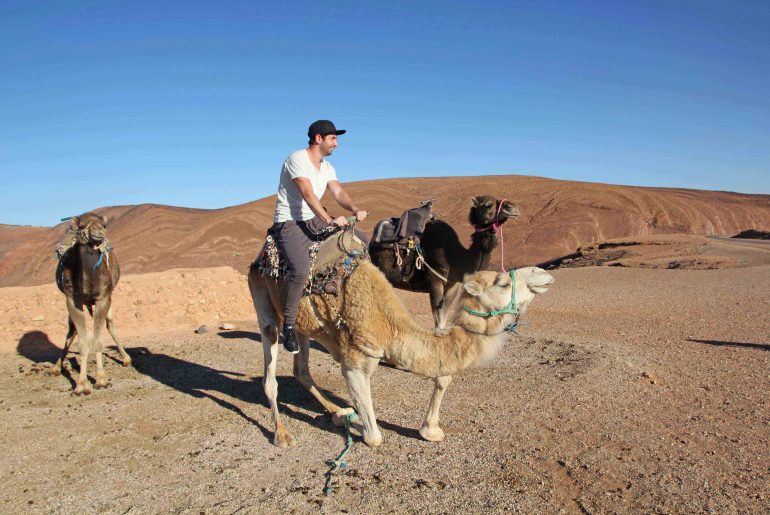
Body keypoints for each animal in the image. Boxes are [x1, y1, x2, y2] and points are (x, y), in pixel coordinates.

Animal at [54, 213, 130, 396]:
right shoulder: (73, 300)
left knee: (110, 326)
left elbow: (98, 340)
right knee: (71, 332)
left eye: (104, 225)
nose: (98, 232)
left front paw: (101, 381)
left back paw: (126, 359)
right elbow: (83, 342)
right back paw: (56, 367)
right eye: (81, 226)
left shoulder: (104, 299)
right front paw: (82, 386)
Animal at [246, 250, 552, 448]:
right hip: (261, 300)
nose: (543, 273)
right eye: (503, 282)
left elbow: (443, 377)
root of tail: (258, 260)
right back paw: (282, 435)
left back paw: (338, 412)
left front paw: (430, 431)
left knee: (301, 370)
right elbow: (375, 438)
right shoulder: (355, 364)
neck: (390, 327)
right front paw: (365, 428)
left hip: (300, 323)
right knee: (270, 373)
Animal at [368, 196, 520, 328]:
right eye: (488, 204)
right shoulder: (435, 278)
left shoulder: (453, 285)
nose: (512, 207)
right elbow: (438, 322)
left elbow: (444, 319)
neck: (455, 256)